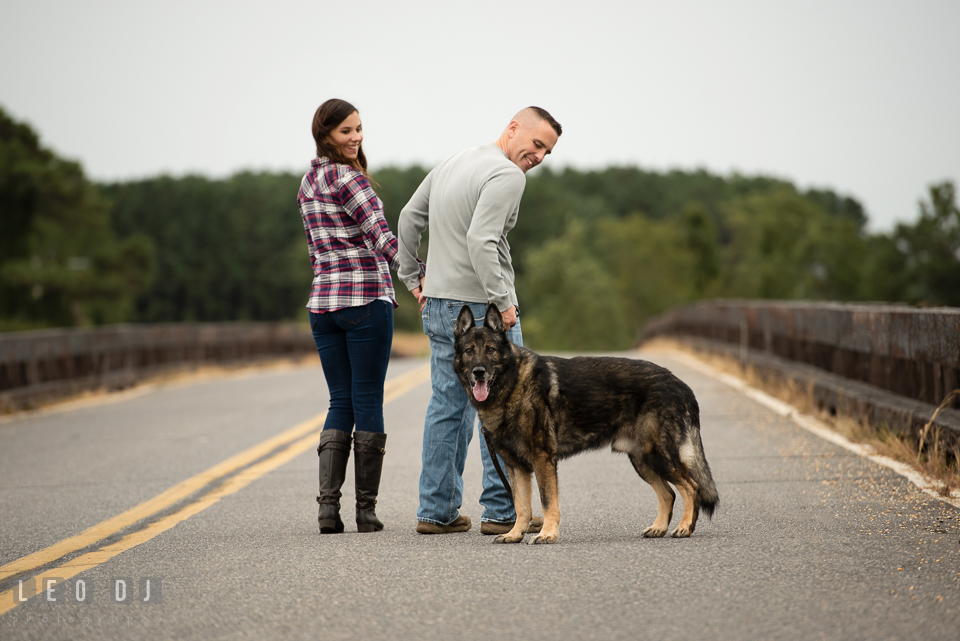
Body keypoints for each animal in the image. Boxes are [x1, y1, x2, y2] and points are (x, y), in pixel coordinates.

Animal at [454, 304, 716, 544]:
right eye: (469, 351)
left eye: (490, 350)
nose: (479, 372)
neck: (512, 383)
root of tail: (679, 383)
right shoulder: (516, 467)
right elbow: (522, 506)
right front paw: (515, 534)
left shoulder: (542, 461)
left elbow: (547, 502)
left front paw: (547, 534)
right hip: (643, 461)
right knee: (669, 493)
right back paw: (659, 527)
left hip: (658, 456)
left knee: (691, 487)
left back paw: (684, 527)